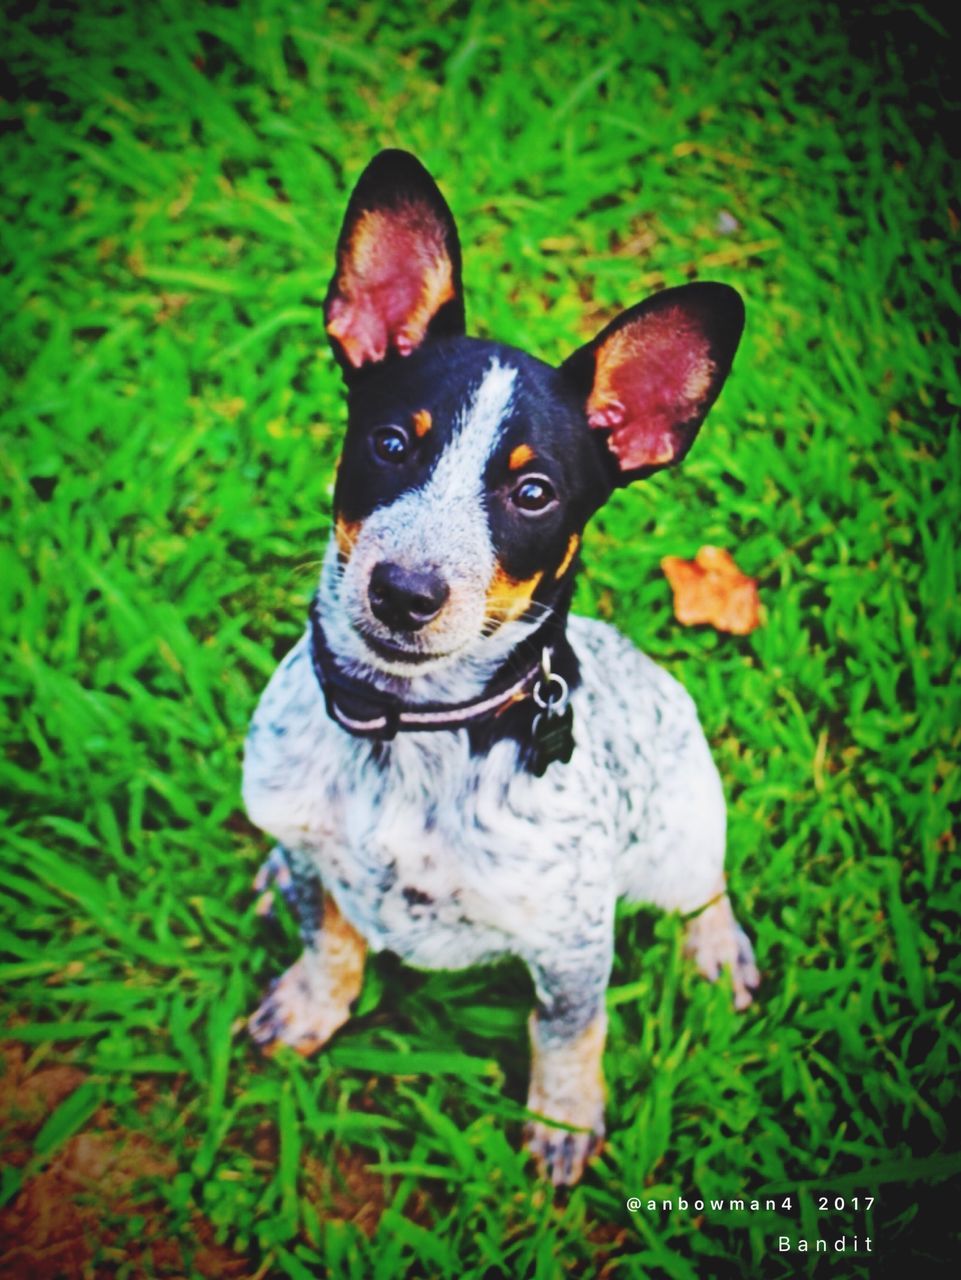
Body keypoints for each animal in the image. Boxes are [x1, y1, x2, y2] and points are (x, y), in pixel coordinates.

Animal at [244, 152, 762, 1187]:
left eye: (532, 492)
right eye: (390, 443)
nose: (404, 592)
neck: (406, 732)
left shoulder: (570, 939)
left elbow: (567, 1031)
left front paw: (562, 1120)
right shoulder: (324, 859)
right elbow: (331, 939)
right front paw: (313, 1001)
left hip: (682, 834)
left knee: (704, 886)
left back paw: (716, 945)